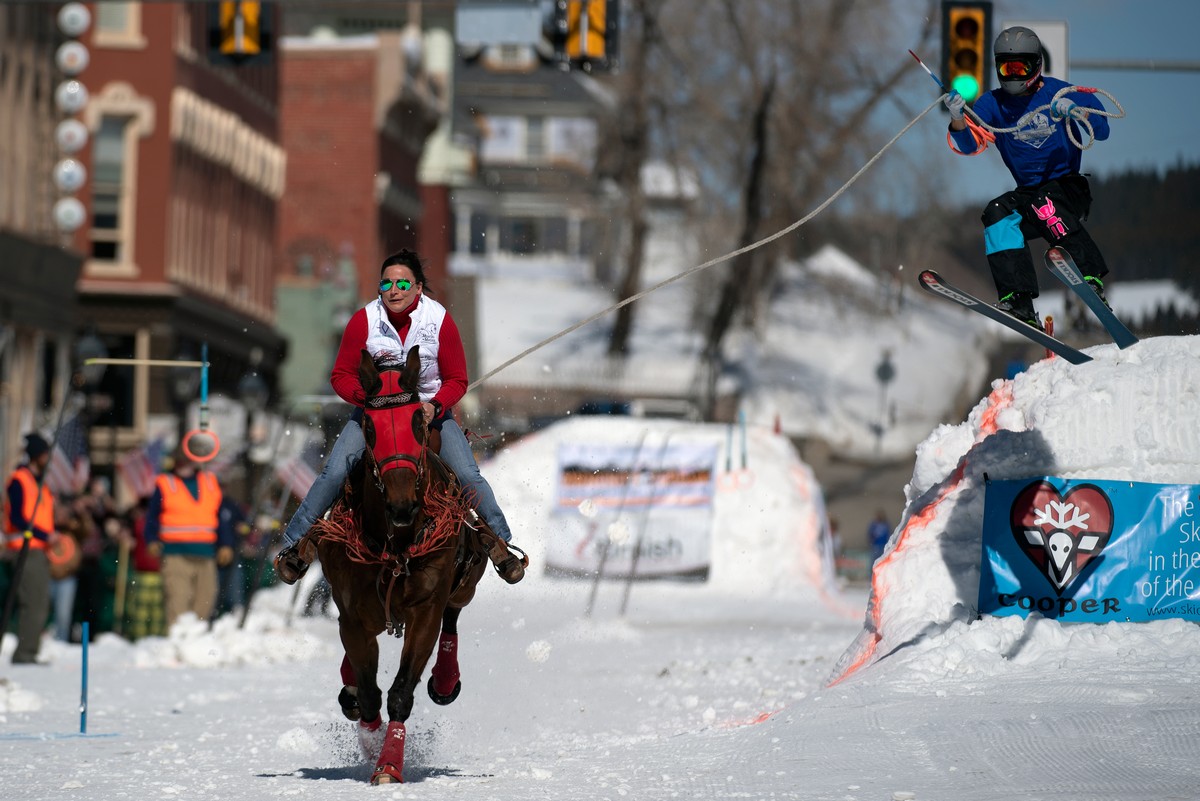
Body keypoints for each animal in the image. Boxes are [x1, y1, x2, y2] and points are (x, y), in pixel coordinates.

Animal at [316, 345, 494, 781]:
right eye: (368, 426)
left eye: (417, 420)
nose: (402, 506)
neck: (394, 540)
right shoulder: (353, 616)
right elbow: (368, 693)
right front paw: (371, 745)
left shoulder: (424, 610)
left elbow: (399, 694)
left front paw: (388, 764)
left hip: (467, 580)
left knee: (453, 615)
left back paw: (445, 681)